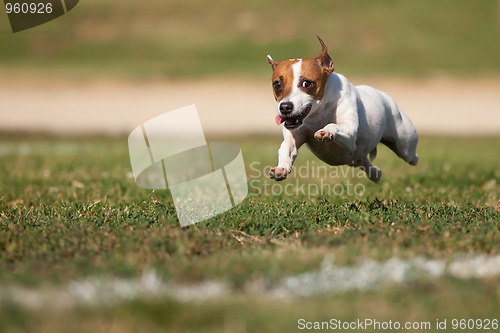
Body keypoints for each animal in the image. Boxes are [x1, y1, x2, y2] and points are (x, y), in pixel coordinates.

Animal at [268, 36, 420, 183]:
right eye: (277, 84)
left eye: (307, 83)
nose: (285, 107)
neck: (318, 113)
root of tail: (385, 96)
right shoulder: (293, 137)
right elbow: (286, 149)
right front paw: (281, 169)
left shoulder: (350, 132)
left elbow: (334, 125)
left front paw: (326, 131)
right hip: (355, 159)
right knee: (366, 164)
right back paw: (375, 174)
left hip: (405, 145)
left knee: (413, 157)